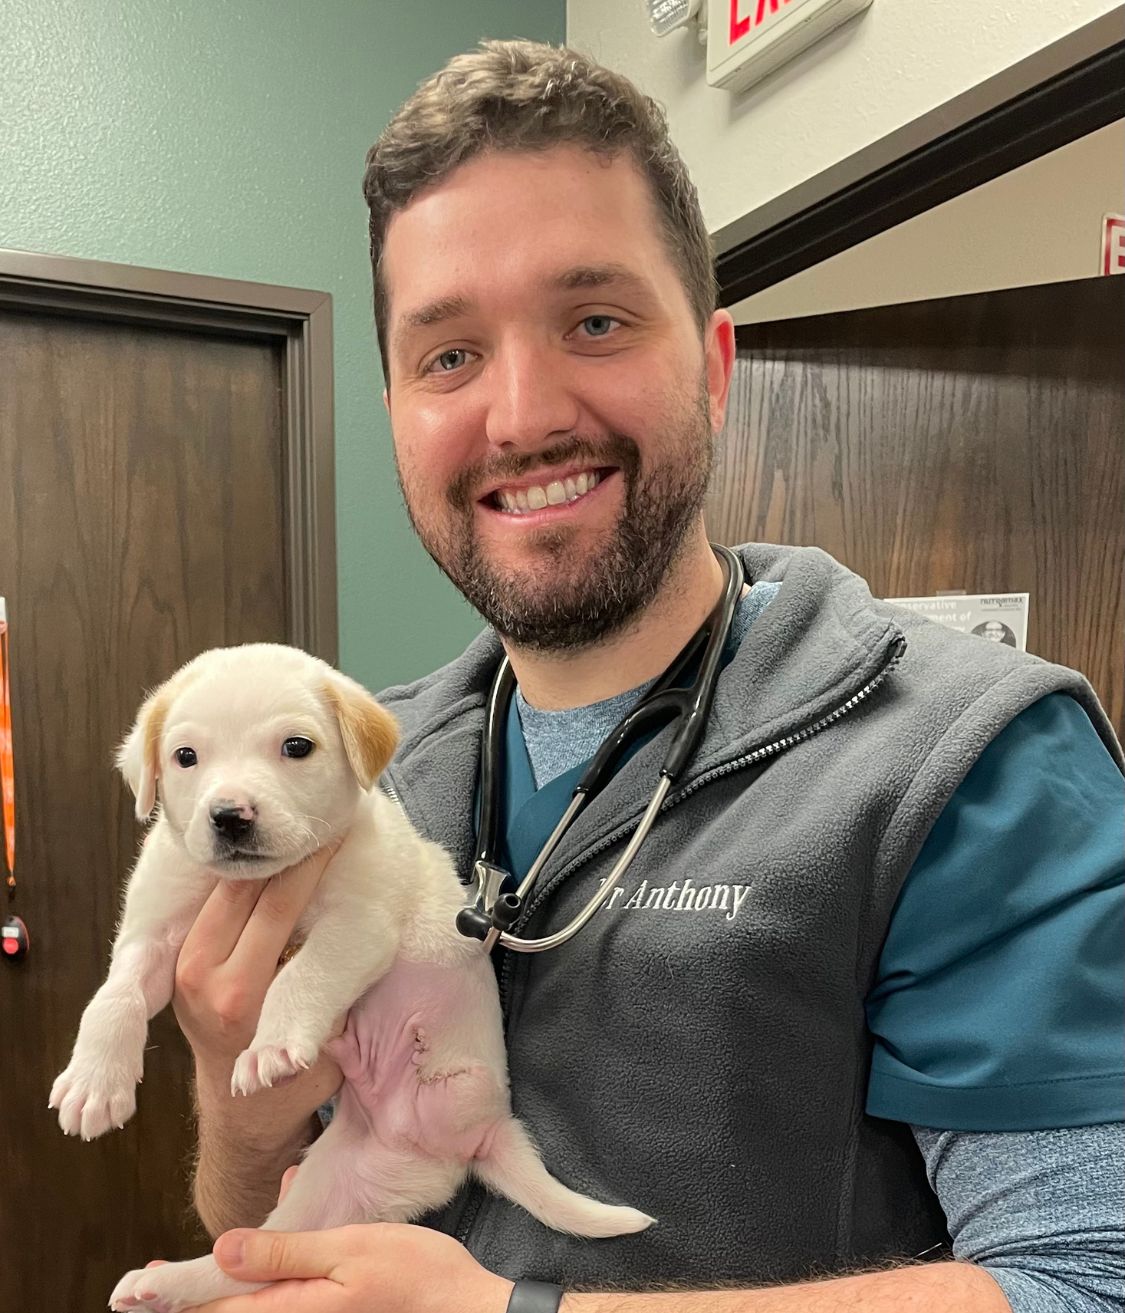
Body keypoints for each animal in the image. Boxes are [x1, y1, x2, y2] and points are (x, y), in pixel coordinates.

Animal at [50, 645, 648, 1313]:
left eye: (296, 747)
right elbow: (114, 996)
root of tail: (486, 1135)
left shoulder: (356, 924)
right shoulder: (151, 934)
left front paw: (270, 1045)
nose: (230, 816)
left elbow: (301, 977)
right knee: (246, 1261)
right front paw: (93, 1082)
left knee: (254, 1260)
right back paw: (164, 1282)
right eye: (185, 757)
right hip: (335, 1184)